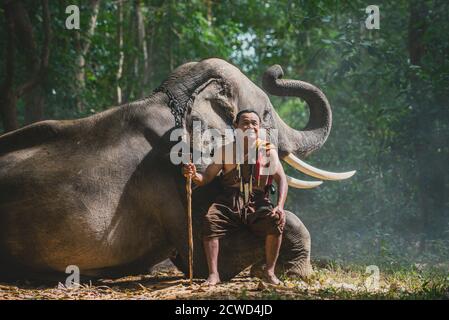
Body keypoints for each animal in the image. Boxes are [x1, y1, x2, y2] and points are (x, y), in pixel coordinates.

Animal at [0, 58, 354, 282]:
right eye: (267, 114)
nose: (275, 72)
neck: (176, 98)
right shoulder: (169, 178)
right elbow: (207, 258)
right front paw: (293, 274)